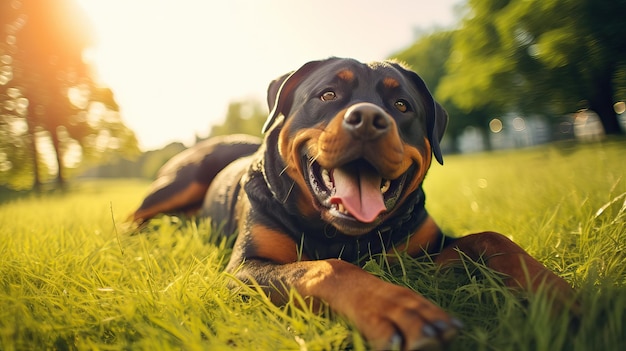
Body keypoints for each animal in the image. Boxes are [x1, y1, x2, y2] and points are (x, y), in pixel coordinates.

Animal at [133, 57, 576, 351]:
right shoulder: (244, 271)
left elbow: (491, 238)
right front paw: (398, 309)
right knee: (139, 213)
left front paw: (556, 293)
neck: (339, 232)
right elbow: (327, 267)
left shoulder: (424, 249)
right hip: (180, 179)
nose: (367, 118)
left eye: (401, 106)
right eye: (328, 94)